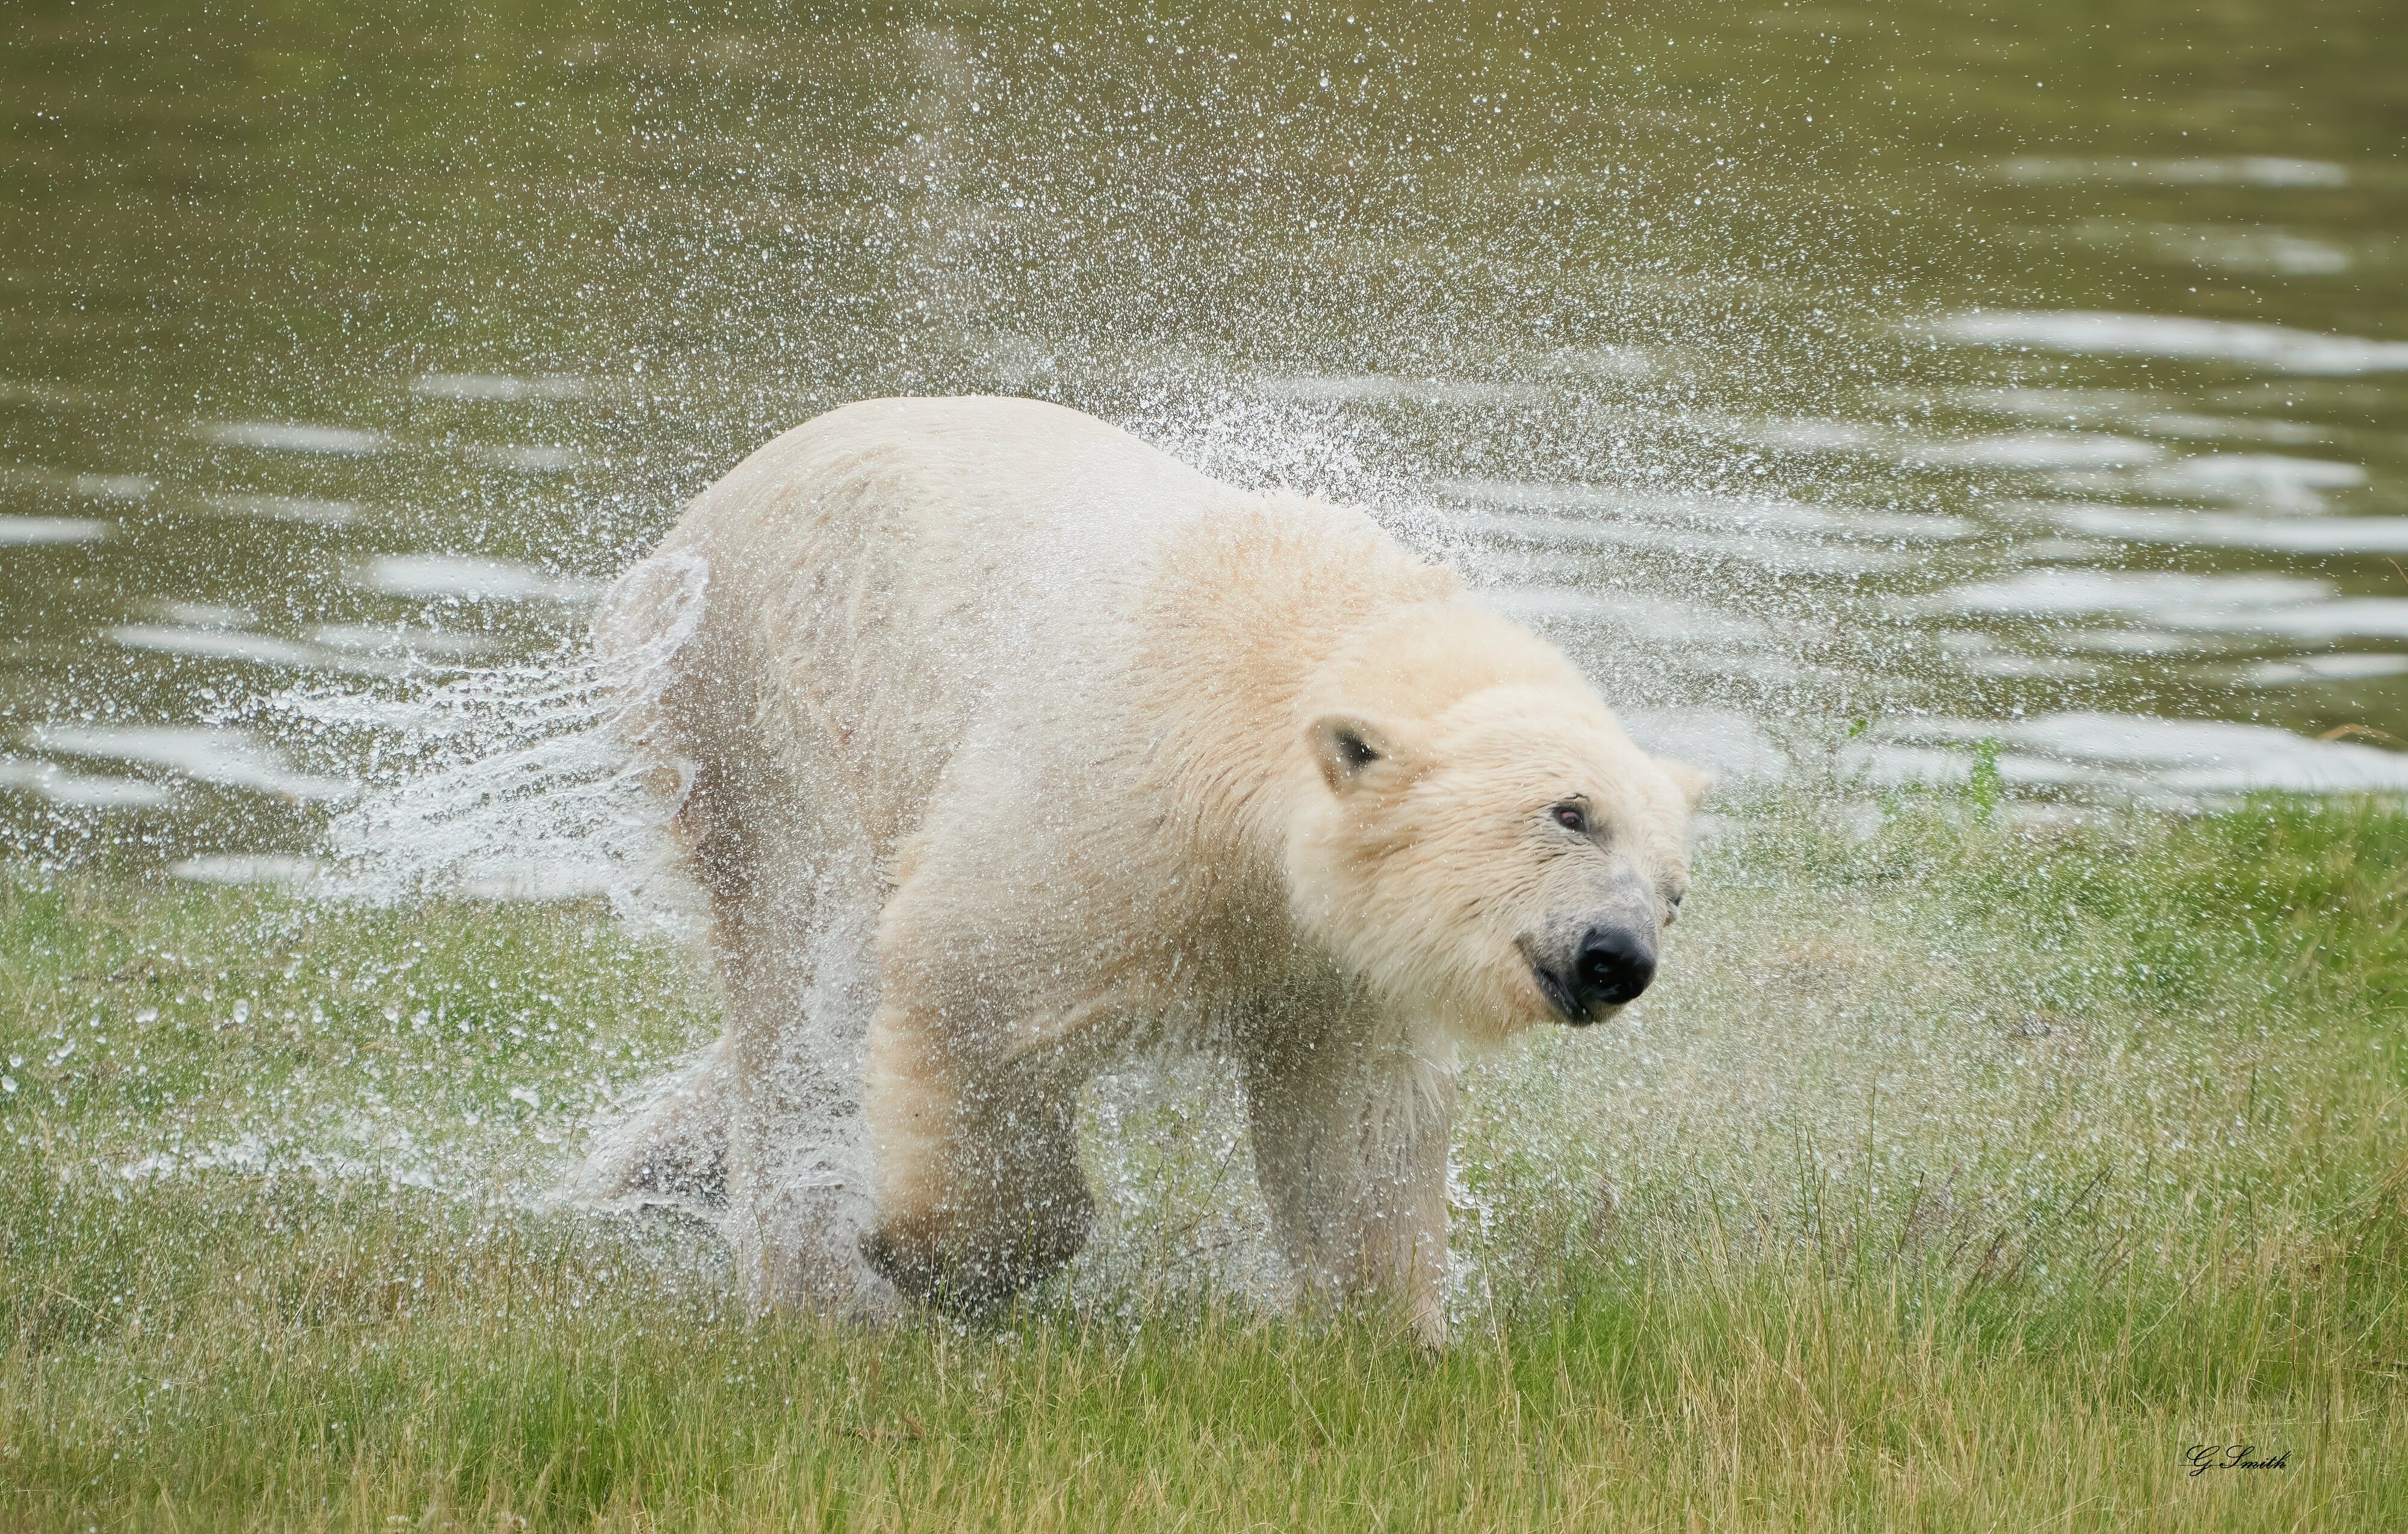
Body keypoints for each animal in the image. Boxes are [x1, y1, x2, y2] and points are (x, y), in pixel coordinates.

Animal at [578, 395, 1714, 1338]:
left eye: (1674, 890)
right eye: (1570, 813)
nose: (1618, 956)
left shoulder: (1331, 960)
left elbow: (1355, 1124)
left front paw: (1391, 1328)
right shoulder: (1121, 792)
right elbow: (969, 970)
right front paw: (951, 1262)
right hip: (764, 705)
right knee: (794, 983)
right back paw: (806, 1284)